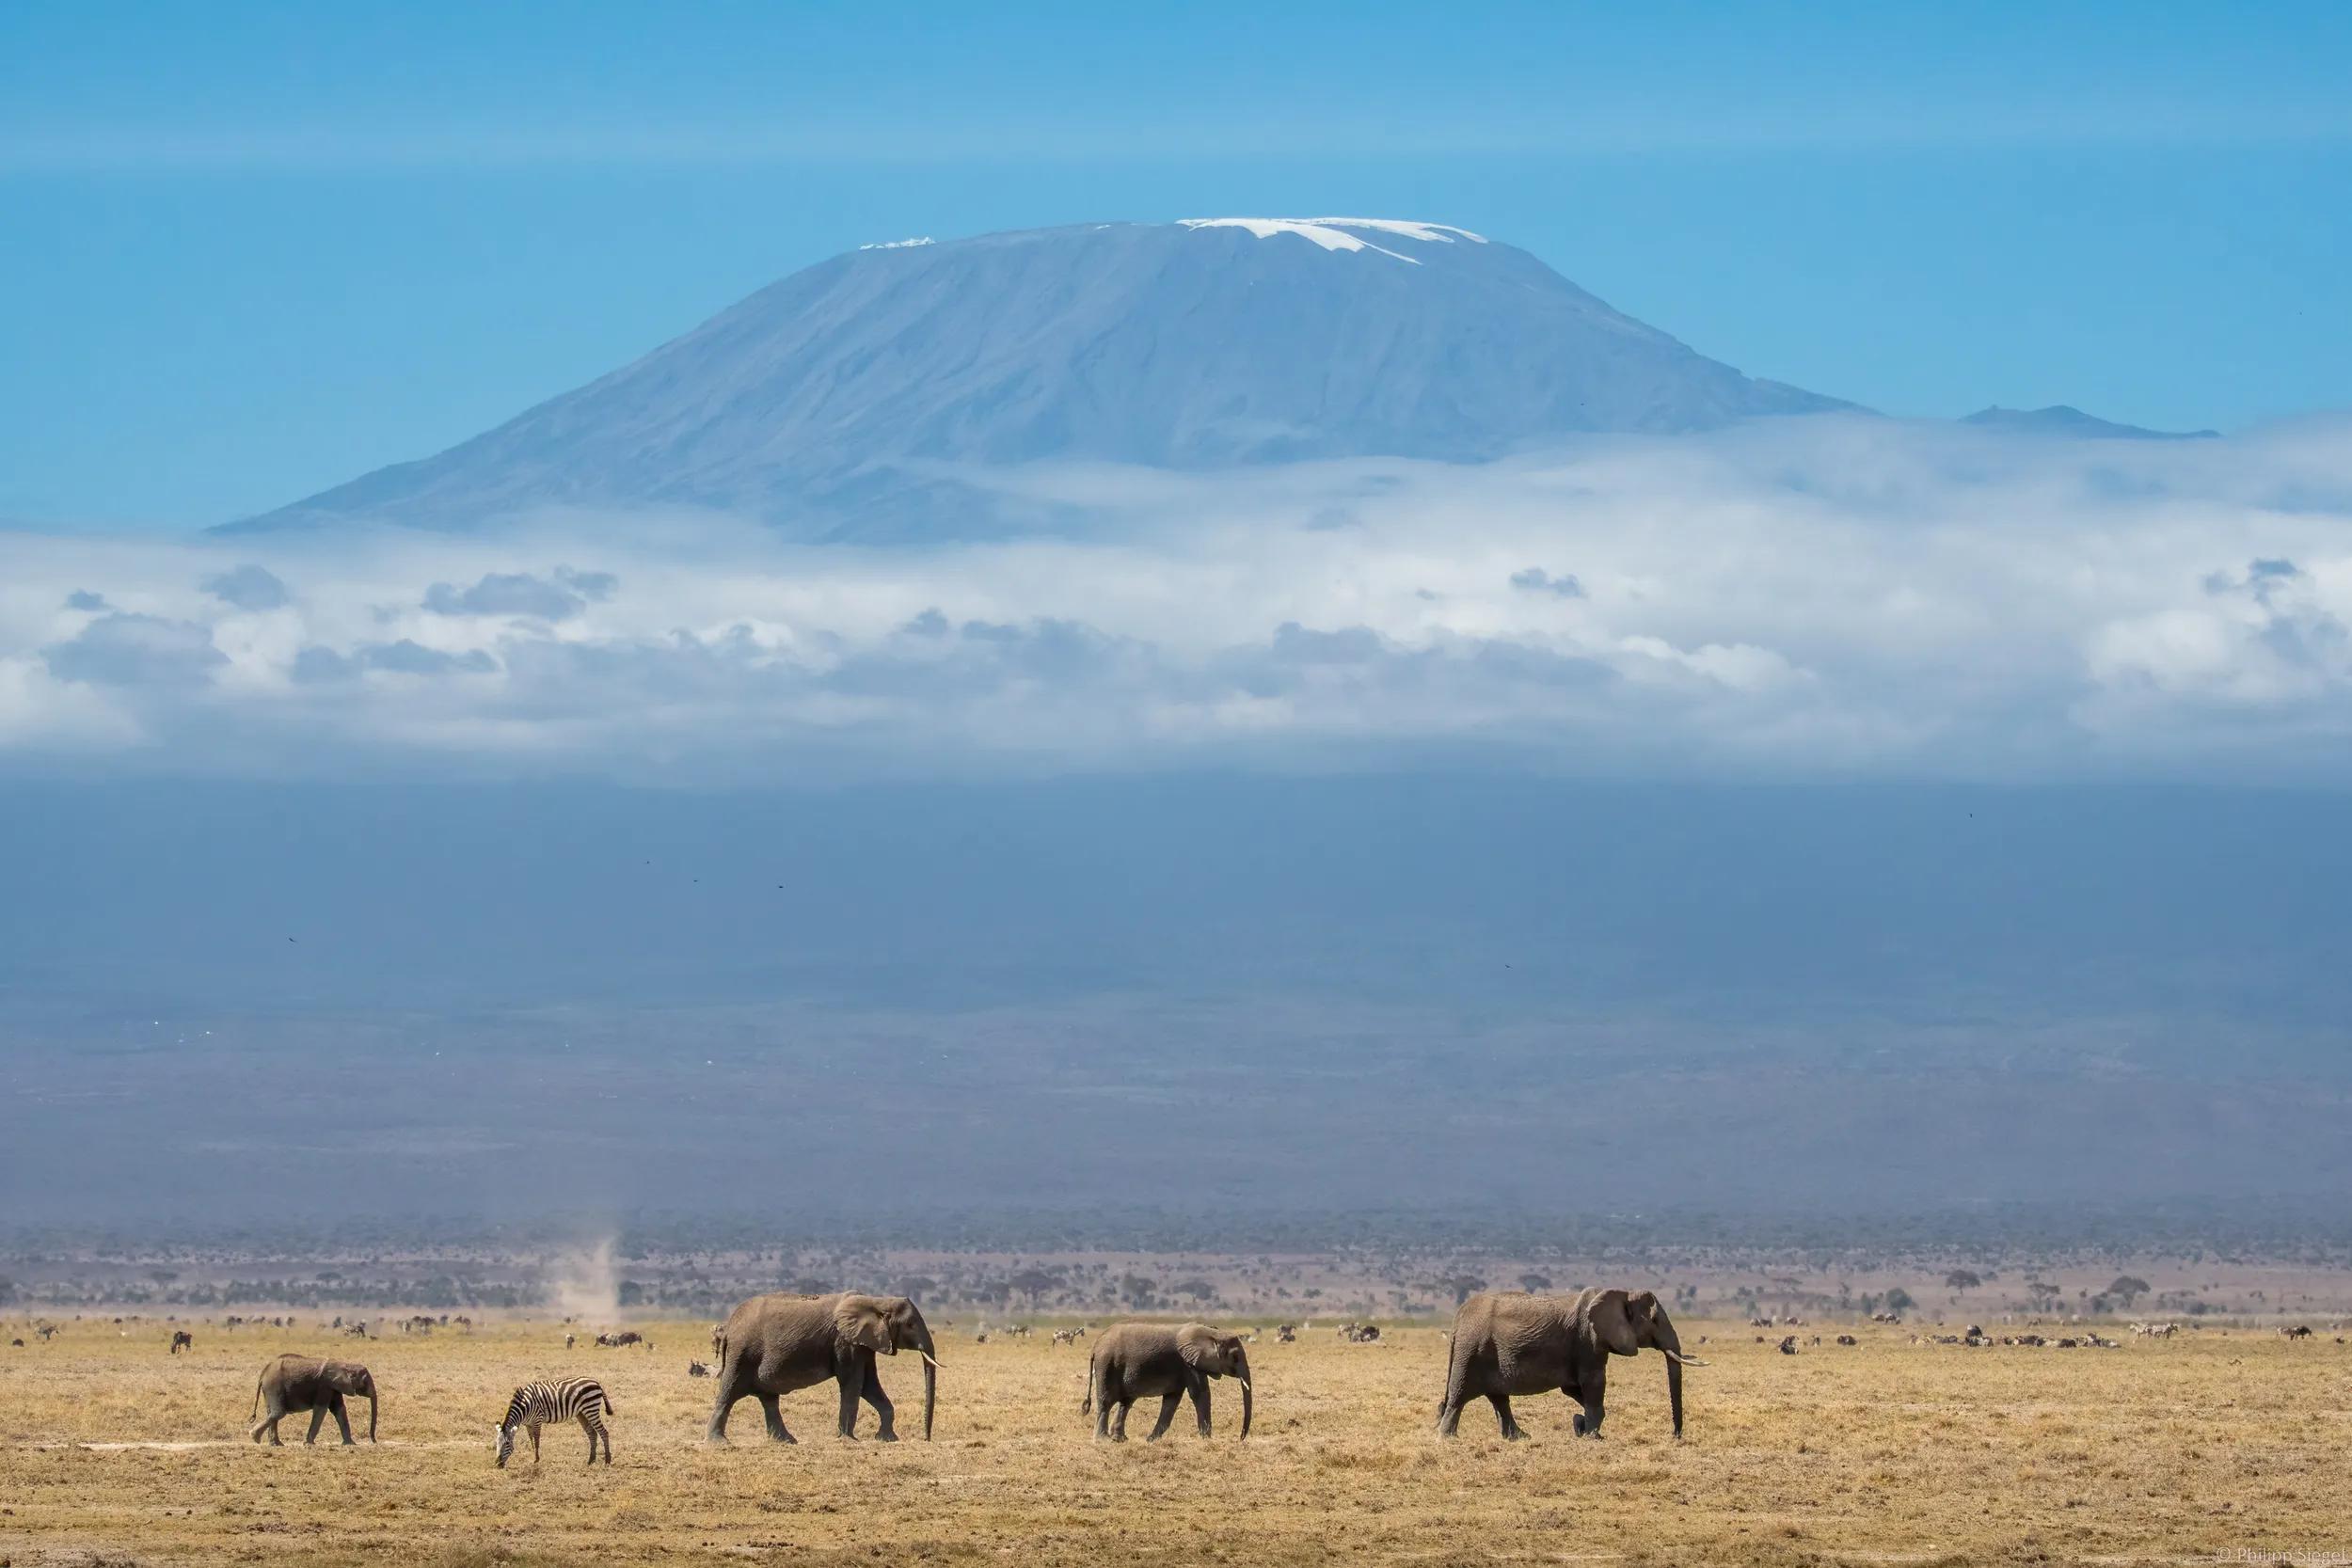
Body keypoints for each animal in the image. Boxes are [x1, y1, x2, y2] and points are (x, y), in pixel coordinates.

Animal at [247, 1354, 376, 1448]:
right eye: (366, 1381)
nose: (374, 1441)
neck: (345, 1365)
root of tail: (263, 1373)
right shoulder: (325, 1385)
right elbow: (321, 1409)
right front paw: (308, 1444)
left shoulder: (334, 1387)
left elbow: (339, 1410)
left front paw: (350, 1444)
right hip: (274, 1387)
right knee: (278, 1412)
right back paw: (254, 1437)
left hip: (270, 1389)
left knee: (272, 1413)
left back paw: (276, 1444)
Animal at [494, 1382, 616, 1466]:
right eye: (496, 1444)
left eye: (507, 1444)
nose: (497, 1464)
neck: (524, 1408)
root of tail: (596, 1382)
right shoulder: (528, 1424)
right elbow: (532, 1440)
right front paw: (534, 1456)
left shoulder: (537, 1420)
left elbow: (537, 1441)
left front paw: (536, 1459)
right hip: (581, 1413)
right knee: (592, 1433)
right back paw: (591, 1460)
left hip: (591, 1409)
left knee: (603, 1432)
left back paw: (607, 1460)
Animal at [1087, 1316, 1261, 1438]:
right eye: (1235, 1357)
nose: (1241, 1438)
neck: (1213, 1333)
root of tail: (1095, 1345)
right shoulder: (1188, 1363)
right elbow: (1200, 1394)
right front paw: (1207, 1439)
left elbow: (1172, 1400)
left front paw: (1151, 1440)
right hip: (1107, 1364)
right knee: (1106, 1401)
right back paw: (1103, 1440)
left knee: (1126, 1402)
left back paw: (1119, 1439)